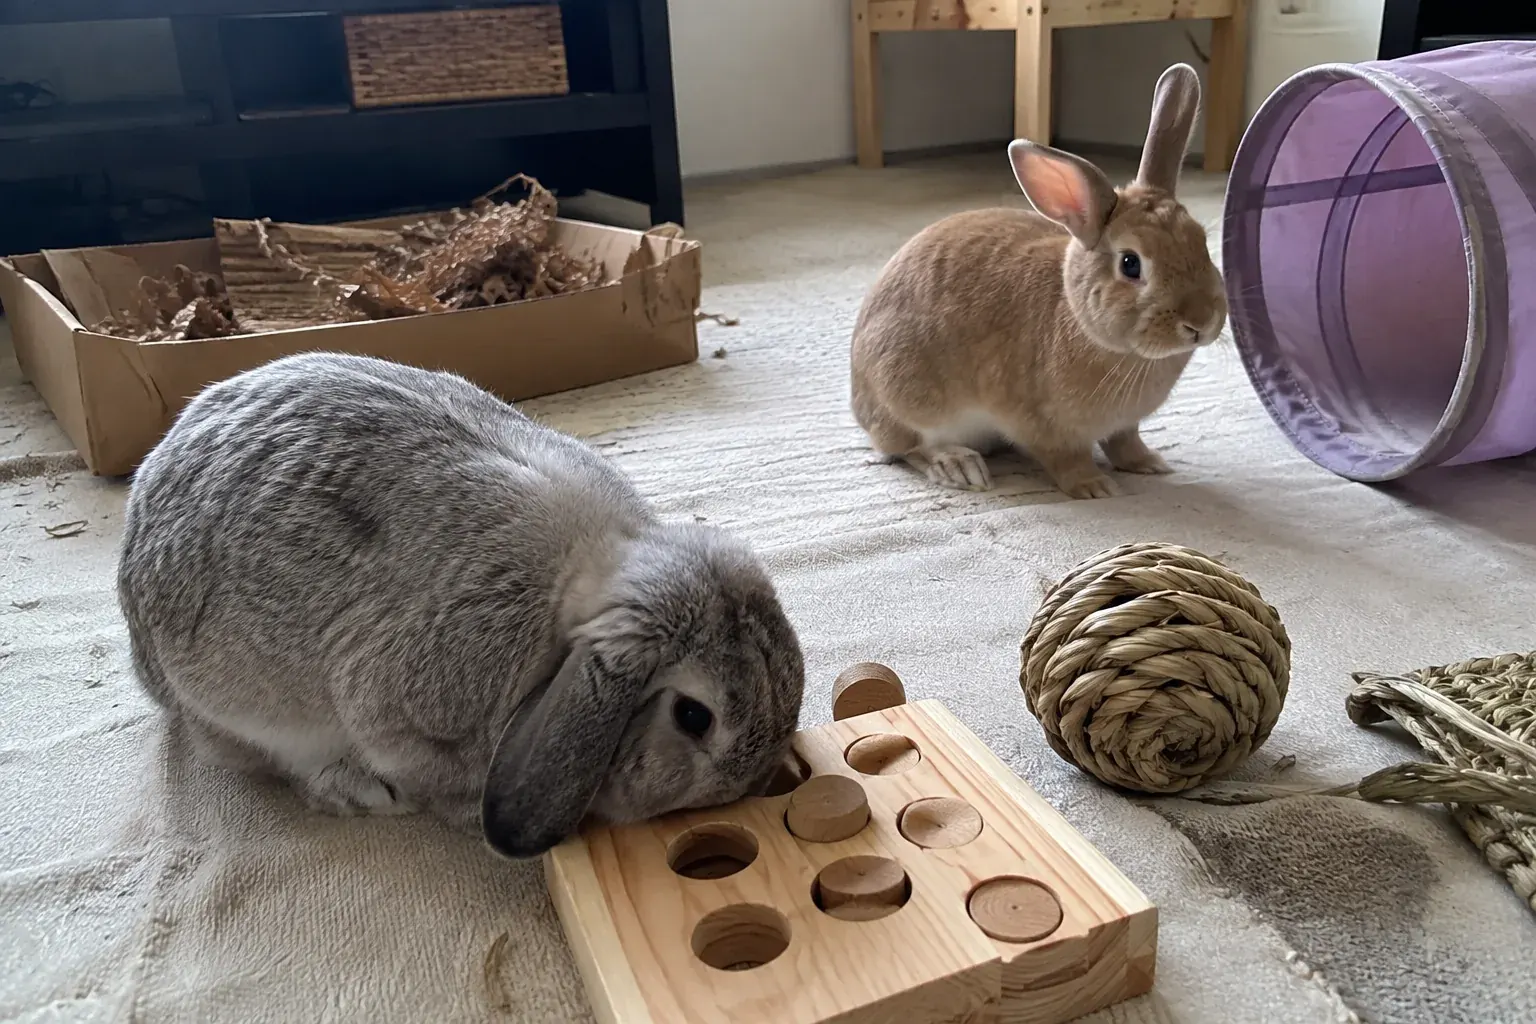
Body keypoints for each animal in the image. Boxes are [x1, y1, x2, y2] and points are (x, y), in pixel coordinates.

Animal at [116, 351, 806, 859]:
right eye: (693, 716)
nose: (743, 788)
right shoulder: (403, 717)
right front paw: (467, 818)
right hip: (249, 715)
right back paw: (362, 792)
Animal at [849, 63, 1227, 499]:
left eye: (1201, 242)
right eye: (1131, 264)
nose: (1200, 322)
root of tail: (859, 401)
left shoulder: (1123, 426)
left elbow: (1125, 442)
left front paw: (1149, 464)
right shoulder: (1043, 425)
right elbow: (1066, 458)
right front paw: (1095, 487)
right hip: (907, 393)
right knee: (908, 446)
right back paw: (960, 467)